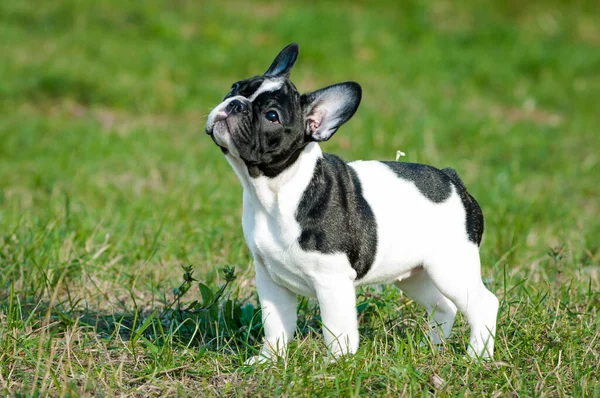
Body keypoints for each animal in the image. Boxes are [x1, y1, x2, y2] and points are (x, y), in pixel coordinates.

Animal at [205, 43, 496, 364]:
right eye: (235, 87)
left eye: (271, 115)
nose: (236, 104)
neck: (278, 190)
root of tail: (453, 180)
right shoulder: (271, 280)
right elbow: (275, 325)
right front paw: (269, 360)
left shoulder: (331, 282)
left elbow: (337, 331)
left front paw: (336, 365)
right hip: (414, 275)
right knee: (443, 305)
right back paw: (431, 347)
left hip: (451, 268)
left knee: (483, 304)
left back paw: (478, 356)